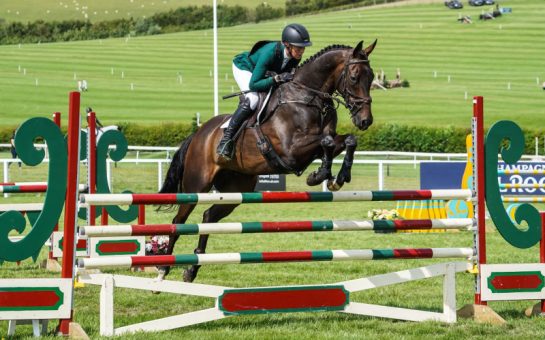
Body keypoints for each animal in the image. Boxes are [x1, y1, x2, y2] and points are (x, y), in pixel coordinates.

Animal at [159, 40, 376, 282]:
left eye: (372, 77)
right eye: (354, 77)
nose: (365, 120)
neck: (308, 97)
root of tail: (198, 134)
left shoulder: (320, 143)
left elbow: (346, 140)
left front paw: (337, 177)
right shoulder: (291, 150)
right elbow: (327, 141)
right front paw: (319, 175)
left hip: (236, 188)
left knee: (208, 217)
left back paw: (192, 269)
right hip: (195, 186)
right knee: (178, 222)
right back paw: (163, 268)